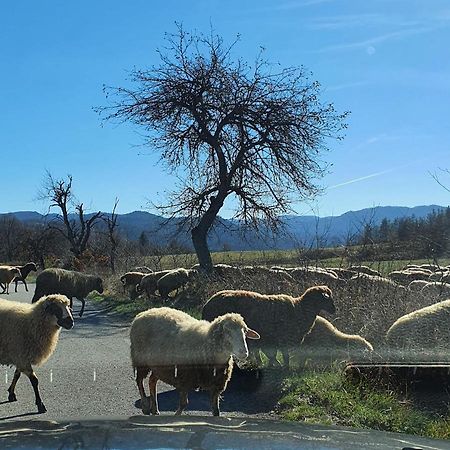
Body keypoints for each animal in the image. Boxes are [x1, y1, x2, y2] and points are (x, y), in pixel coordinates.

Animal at [129, 308, 260, 416]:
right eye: (227, 331)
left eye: (245, 331)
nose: (244, 352)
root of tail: (143, 313)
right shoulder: (183, 378)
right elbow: (184, 404)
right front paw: (176, 417)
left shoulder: (216, 386)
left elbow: (216, 411)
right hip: (140, 360)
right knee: (139, 381)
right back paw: (146, 407)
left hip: (159, 366)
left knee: (152, 381)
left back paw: (155, 410)